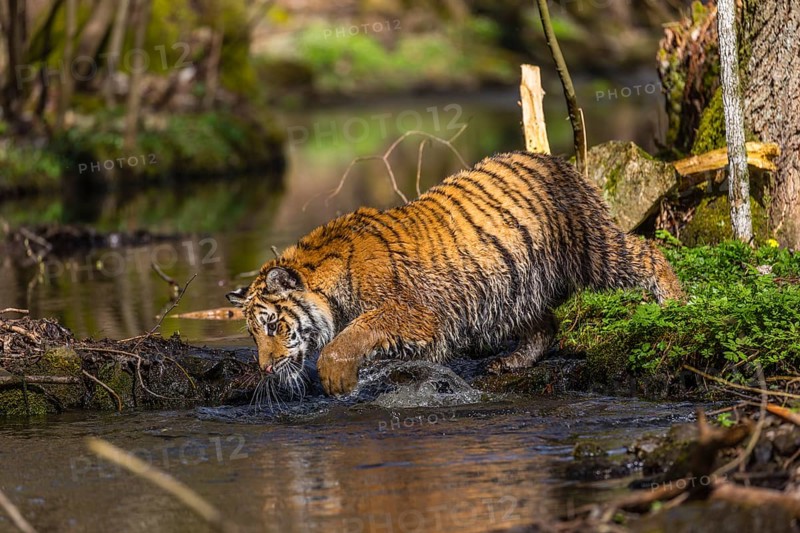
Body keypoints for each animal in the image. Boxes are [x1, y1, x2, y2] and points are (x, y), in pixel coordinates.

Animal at [227, 151, 684, 396]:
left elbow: (357, 331)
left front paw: (335, 374)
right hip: (513, 286)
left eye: (273, 326)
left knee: (649, 252)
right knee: (546, 323)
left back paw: (677, 305)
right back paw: (511, 361)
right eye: (251, 335)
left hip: (592, 248)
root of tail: (554, 160)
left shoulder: (415, 311)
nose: (265, 369)